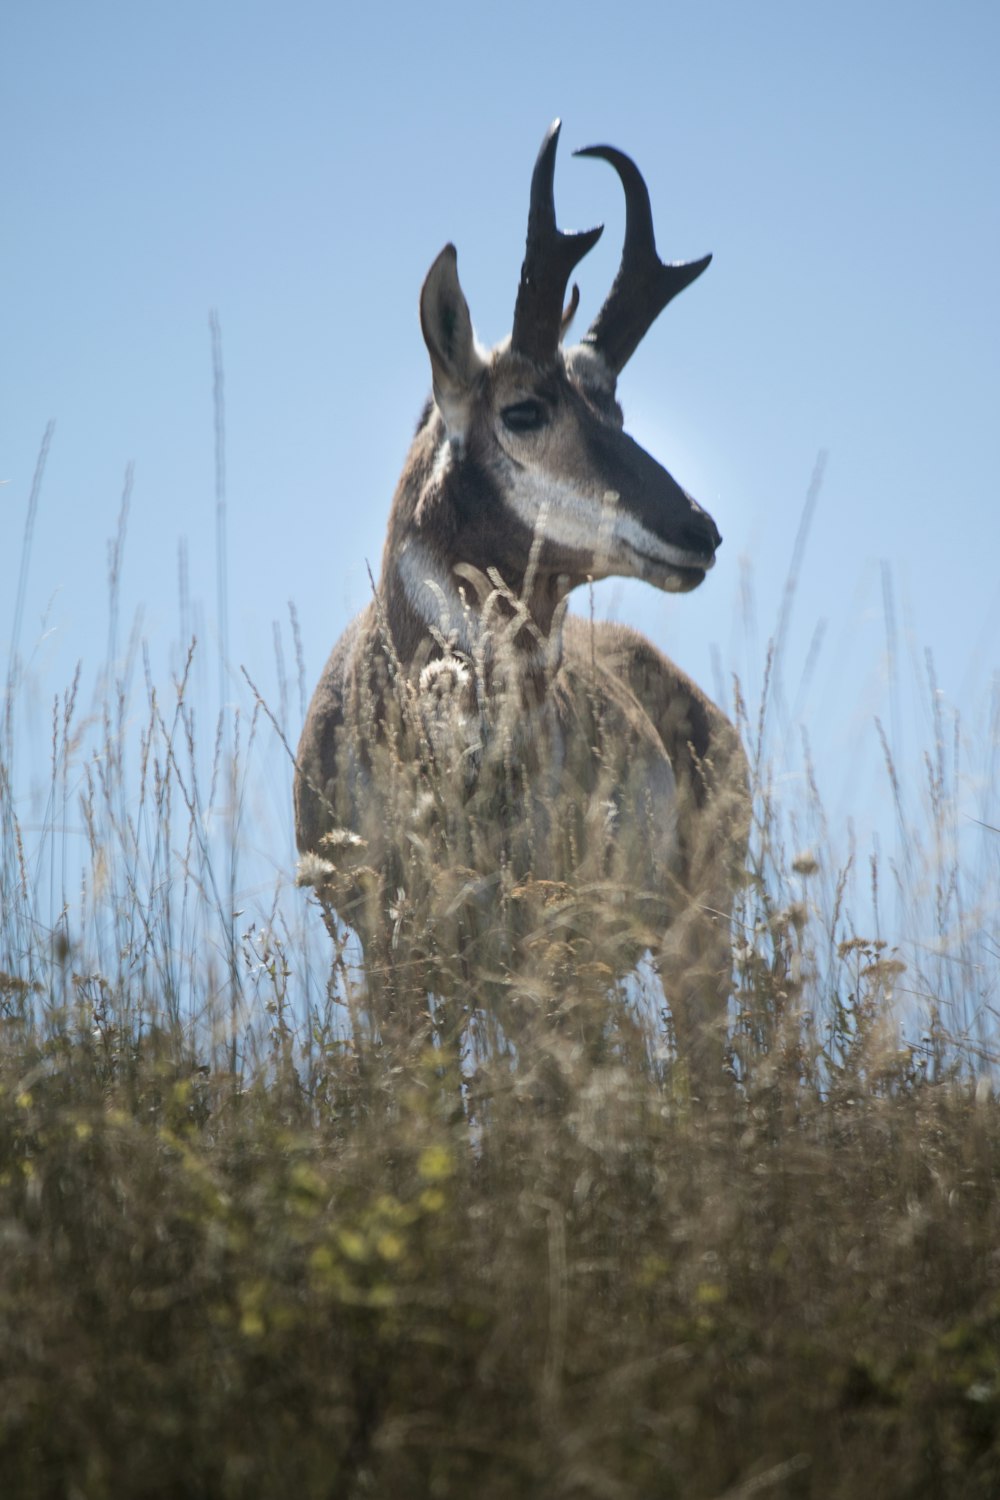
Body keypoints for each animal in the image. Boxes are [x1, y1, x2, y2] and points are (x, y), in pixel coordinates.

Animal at [296, 117, 749, 1080]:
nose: (698, 529)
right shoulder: (391, 956)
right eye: (526, 409)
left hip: (692, 937)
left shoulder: (541, 955)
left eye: (616, 407)